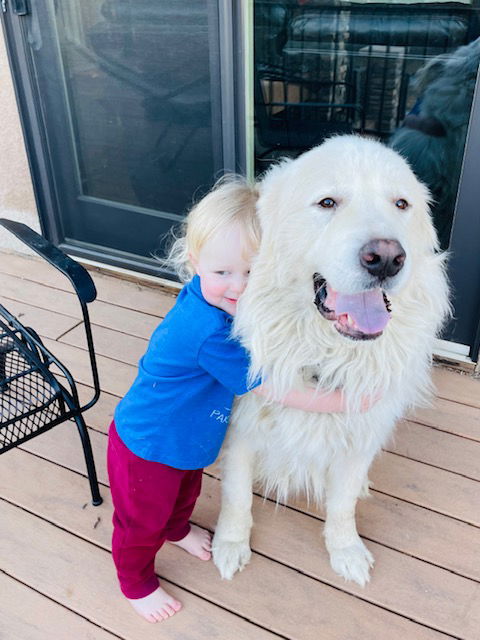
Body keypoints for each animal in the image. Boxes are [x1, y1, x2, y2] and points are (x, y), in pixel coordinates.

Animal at [213, 138, 450, 588]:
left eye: (401, 204)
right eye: (327, 202)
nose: (387, 257)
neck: (324, 355)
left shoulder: (360, 435)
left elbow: (341, 506)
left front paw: (346, 551)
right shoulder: (241, 429)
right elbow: (236, 495)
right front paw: (231, 544)